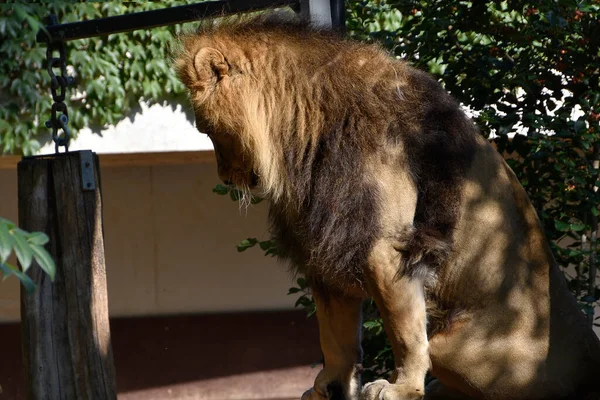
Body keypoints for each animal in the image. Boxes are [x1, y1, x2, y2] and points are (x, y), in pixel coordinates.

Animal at [176, 14, 600, 398]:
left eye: (207, 129)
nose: (223, 176)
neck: (304, 132)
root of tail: (591, 358)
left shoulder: (385, 246)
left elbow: (404, 330)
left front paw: (401, 388)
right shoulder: (327, 244)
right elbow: (335, 334)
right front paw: (329, 385)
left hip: (456, 346)